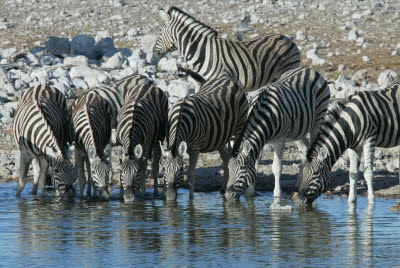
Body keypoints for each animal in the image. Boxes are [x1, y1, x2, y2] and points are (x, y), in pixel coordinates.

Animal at [153, 6, 300, 92]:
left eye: (159, 30)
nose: (154, 52)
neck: (201, 52)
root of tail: (287, 38)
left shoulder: (222, 81)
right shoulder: (200, 83)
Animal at [223, 67, 330, 201]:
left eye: (242, 168)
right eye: (228, 167)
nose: (227, 195)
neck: (265, 116)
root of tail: (308, 69)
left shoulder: (280, 140)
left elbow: (277, 167)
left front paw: (277, 195)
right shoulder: (261, 141)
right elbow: (256, 165)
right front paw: (250, 192)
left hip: (318, 119)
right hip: (298, 129)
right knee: (304, 150)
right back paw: (299, 184)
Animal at [296, 77, 400, 205]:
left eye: (315, 173)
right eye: (303, 173)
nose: (299, 200)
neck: (351, 122)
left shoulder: (369, 140)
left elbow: (368, 172)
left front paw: (371, 201)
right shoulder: (353, 146)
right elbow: (353, 173)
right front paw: (351, 201)